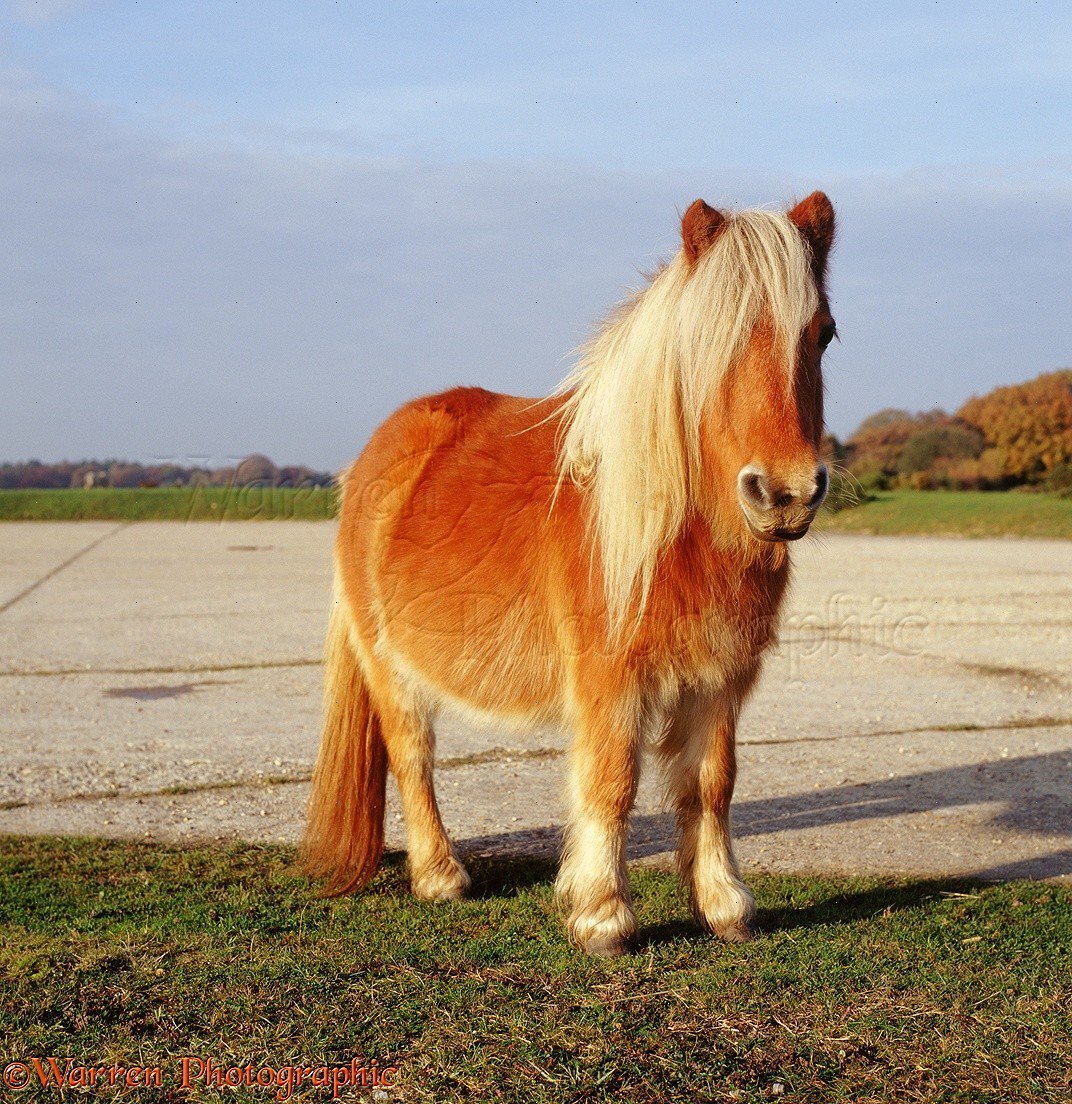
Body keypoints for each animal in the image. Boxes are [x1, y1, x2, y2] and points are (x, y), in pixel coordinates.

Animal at [302, 192, 839, 958]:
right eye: (709, 340)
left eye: (823, 334)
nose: (786, 493)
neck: (667, 531)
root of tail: (377, 451)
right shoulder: (609, 681)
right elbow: (612, 783)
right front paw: (603, 917)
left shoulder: (720, 682)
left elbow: (713, 784)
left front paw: (724, 905)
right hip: (390, 666)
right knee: (412, 756)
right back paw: (440, 876)